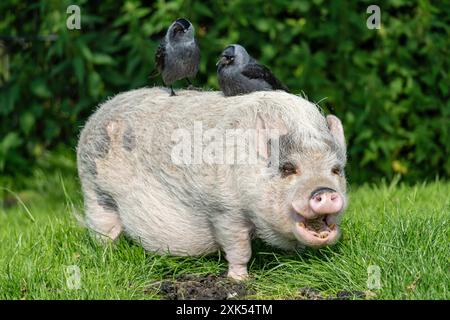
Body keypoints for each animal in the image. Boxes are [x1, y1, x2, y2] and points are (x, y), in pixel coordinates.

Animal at [77, 87, 348, 280]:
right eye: (288, 169)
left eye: (336, 169)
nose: (324, 191)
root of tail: (98, 112)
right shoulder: (224, 210)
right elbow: (239, 249)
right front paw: (240, 280)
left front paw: (297, 262)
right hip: (94, 189)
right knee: (103, 231)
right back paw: (108, 258)